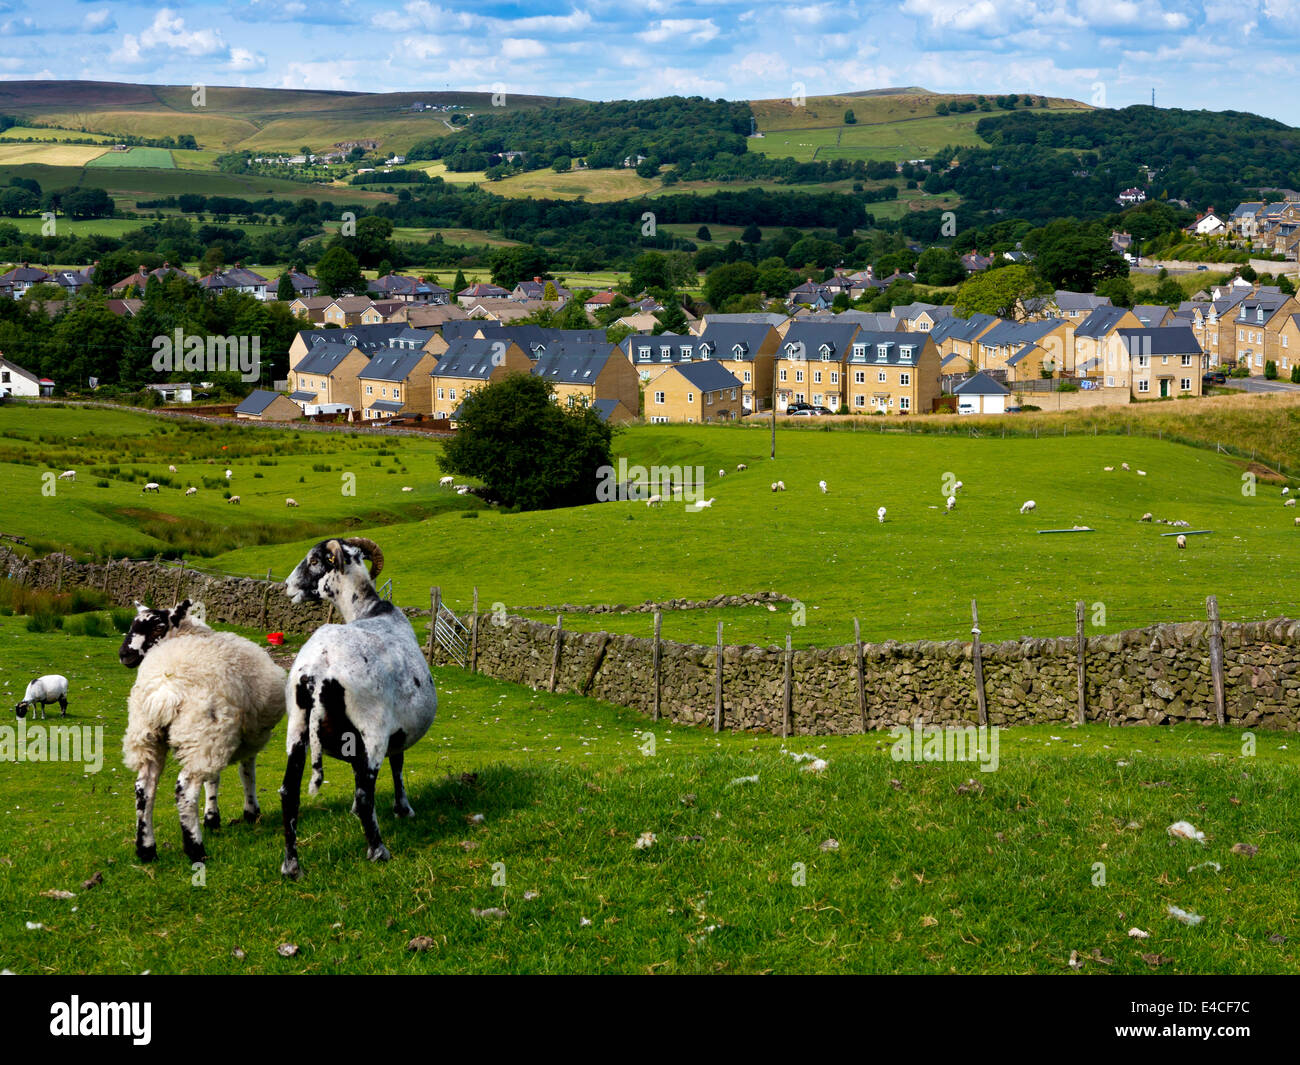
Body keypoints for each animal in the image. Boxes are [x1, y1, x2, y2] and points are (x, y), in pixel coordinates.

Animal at [118, 600, 287, 868]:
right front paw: (250, 812)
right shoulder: (247, 736)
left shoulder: (222, 736)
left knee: (144, 788)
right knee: (184, 790)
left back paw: (146, 849)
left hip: (150, 735)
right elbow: (247, 774)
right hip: (198, 731)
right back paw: (195, 848)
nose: (124, 655)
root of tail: (164, 691)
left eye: (157, 627)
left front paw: (212, 817)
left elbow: (214, 779)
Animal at [276, 538, 439, 879]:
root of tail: (318, 669)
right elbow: (397, 765)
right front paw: (403, 810)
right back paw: (378, 851)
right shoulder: (394, 731)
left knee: (288, 793)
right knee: (367, 793)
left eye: (314, 561)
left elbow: (356, 769)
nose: (286, 586)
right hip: (372, 726)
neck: (369, 608)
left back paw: (291, 866)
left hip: (296, 727)